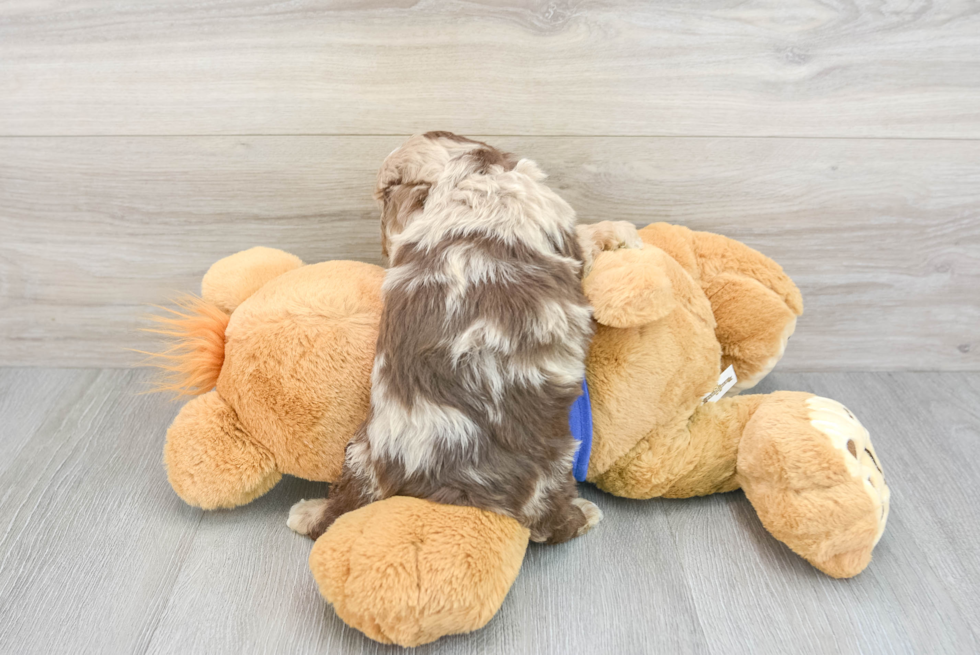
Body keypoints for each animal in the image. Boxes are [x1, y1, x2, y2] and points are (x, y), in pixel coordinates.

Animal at [290, 132, 644, 544]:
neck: (475, 177)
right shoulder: (563, 235)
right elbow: (588, 236)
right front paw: (622, 232)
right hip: (549, 469)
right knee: (551, 524)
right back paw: (585, 514)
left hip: (361, 451)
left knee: (344, 500)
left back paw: (307, 512)